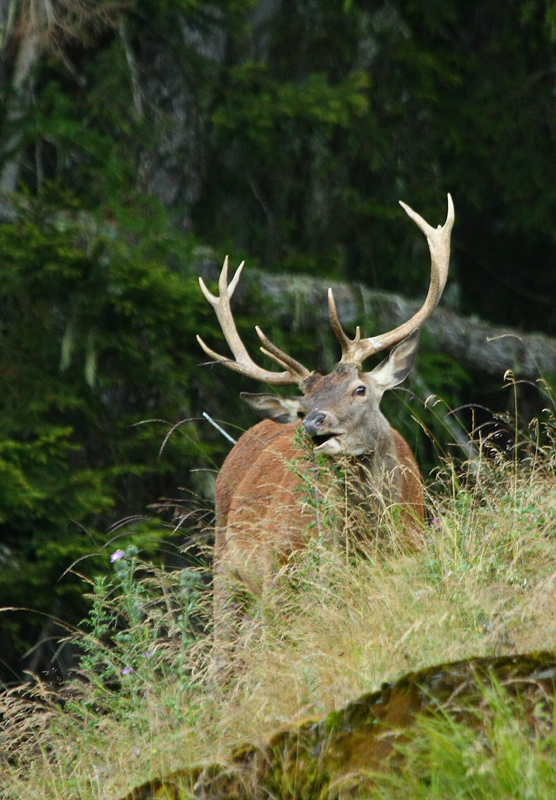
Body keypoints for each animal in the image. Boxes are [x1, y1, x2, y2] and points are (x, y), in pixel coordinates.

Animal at [198, 195, 454, 646]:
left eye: (360, 389)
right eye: (302, 407)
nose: (313, 423)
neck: (370, 540)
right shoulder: (285, 571)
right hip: (227, 560)